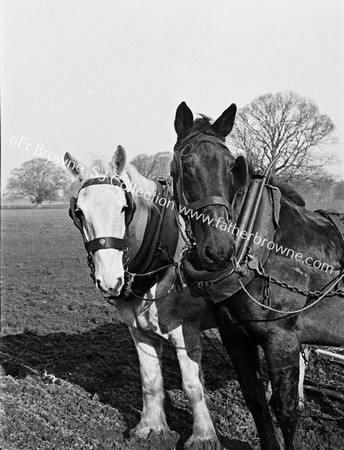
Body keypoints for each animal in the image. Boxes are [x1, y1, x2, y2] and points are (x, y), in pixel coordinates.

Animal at [64, 146, 222, 448]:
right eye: (78, 212)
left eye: (124, 207)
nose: (110, 281)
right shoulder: (139, 331)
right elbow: (150, 381)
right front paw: (150, 428)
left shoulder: (186, 332)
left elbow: (192, 385)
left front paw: (203, 437)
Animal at [172, 103, 344, 450]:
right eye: (186, 165)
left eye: (231, 168)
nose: (218, 249)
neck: (260, 246)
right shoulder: (234, 336)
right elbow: (255, 400)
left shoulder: (282, 338)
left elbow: (286, 411)